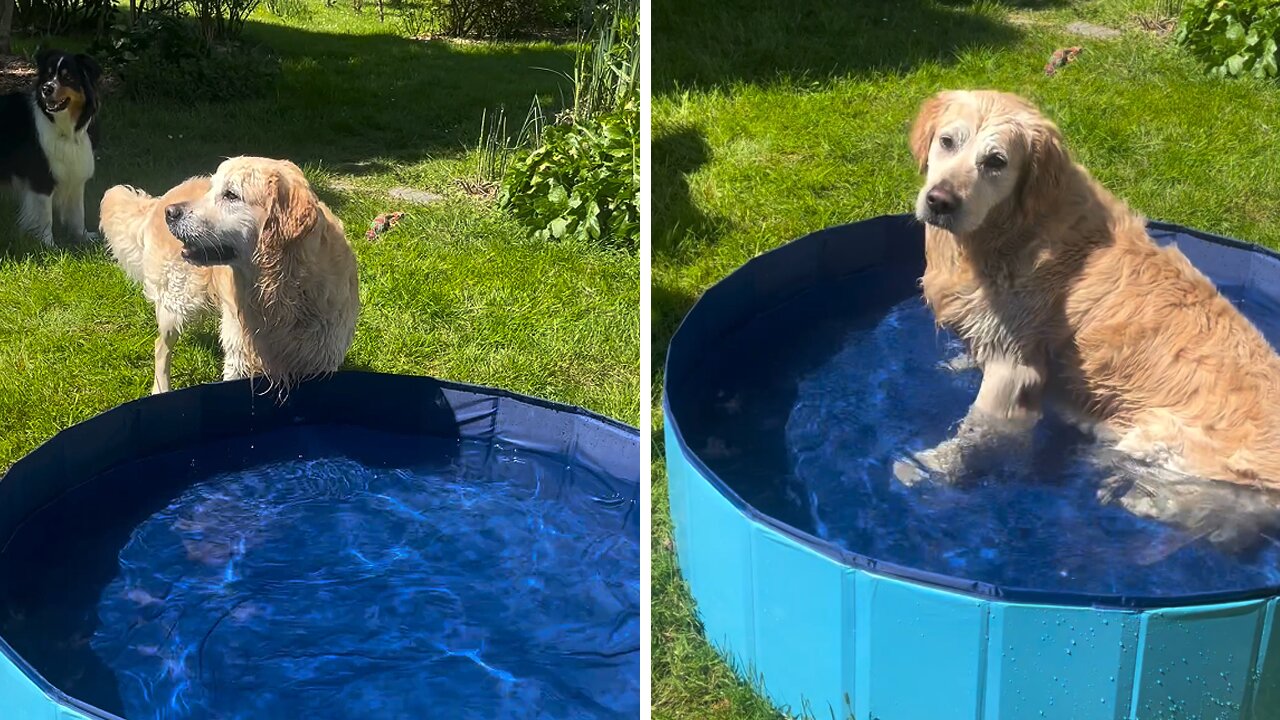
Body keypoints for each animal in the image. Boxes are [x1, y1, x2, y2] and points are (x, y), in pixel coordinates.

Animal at [0, 49, 100, 245]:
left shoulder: (75, 172)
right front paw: (48, 245)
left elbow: (78, 212)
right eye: (47, 75)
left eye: (67, 77)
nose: (46, 89)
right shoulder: (41, 177)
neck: (62, 127)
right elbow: (45, 215)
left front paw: (84, 237)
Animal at [97, 155, 360, 392]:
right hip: (177, 303)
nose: (170, 213)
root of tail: (162, 199)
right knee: (161, 346)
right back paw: (160, 389)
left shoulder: (322, 358)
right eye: (213, 189)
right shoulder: (240, 357)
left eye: (231, 195)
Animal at [896, 90, 1280, 548]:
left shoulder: (1014, 366)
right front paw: (958, 363)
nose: (940, 201)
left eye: (996, 161)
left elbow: (976, 429)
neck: (1013, 227)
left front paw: (931, 466)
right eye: (948, 142)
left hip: (1163, 441)